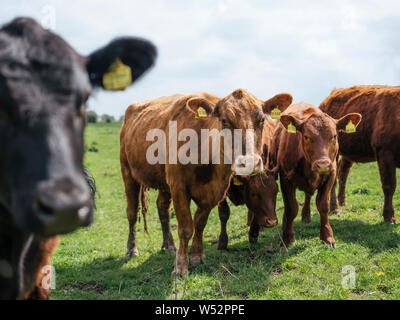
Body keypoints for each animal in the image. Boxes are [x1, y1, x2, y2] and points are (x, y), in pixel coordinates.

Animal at [316, 85, 400, 222]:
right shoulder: (385, 153)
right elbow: (389, 186)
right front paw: (389, 217)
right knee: (334, 179)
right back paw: (335, 208)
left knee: (343, 172)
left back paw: (342, 201)